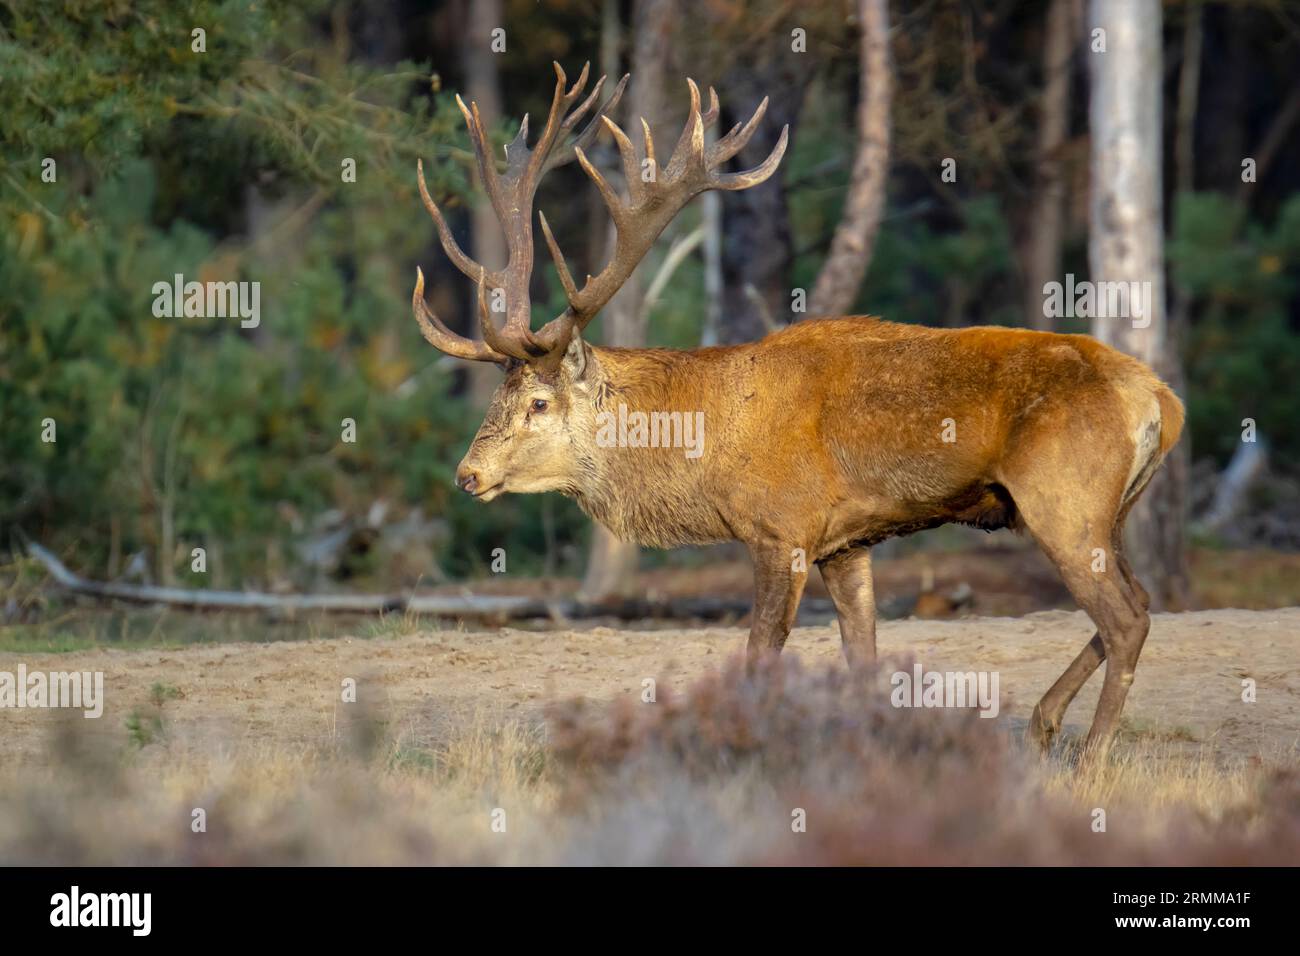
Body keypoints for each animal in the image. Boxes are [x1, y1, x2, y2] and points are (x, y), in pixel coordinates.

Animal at [410, 62, 1184, 764]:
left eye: (538, 402)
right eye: (498, 397)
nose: (467, 474)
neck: (707, 445)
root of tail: (1162, 399)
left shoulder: (781, 528)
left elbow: (759, 657)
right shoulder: (847, 542)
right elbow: (863, 661)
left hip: (1062, 496)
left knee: (1126, 618)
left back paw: (1089, 759)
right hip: (1109, 511)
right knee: (1143, 600)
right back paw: (1044, 724)